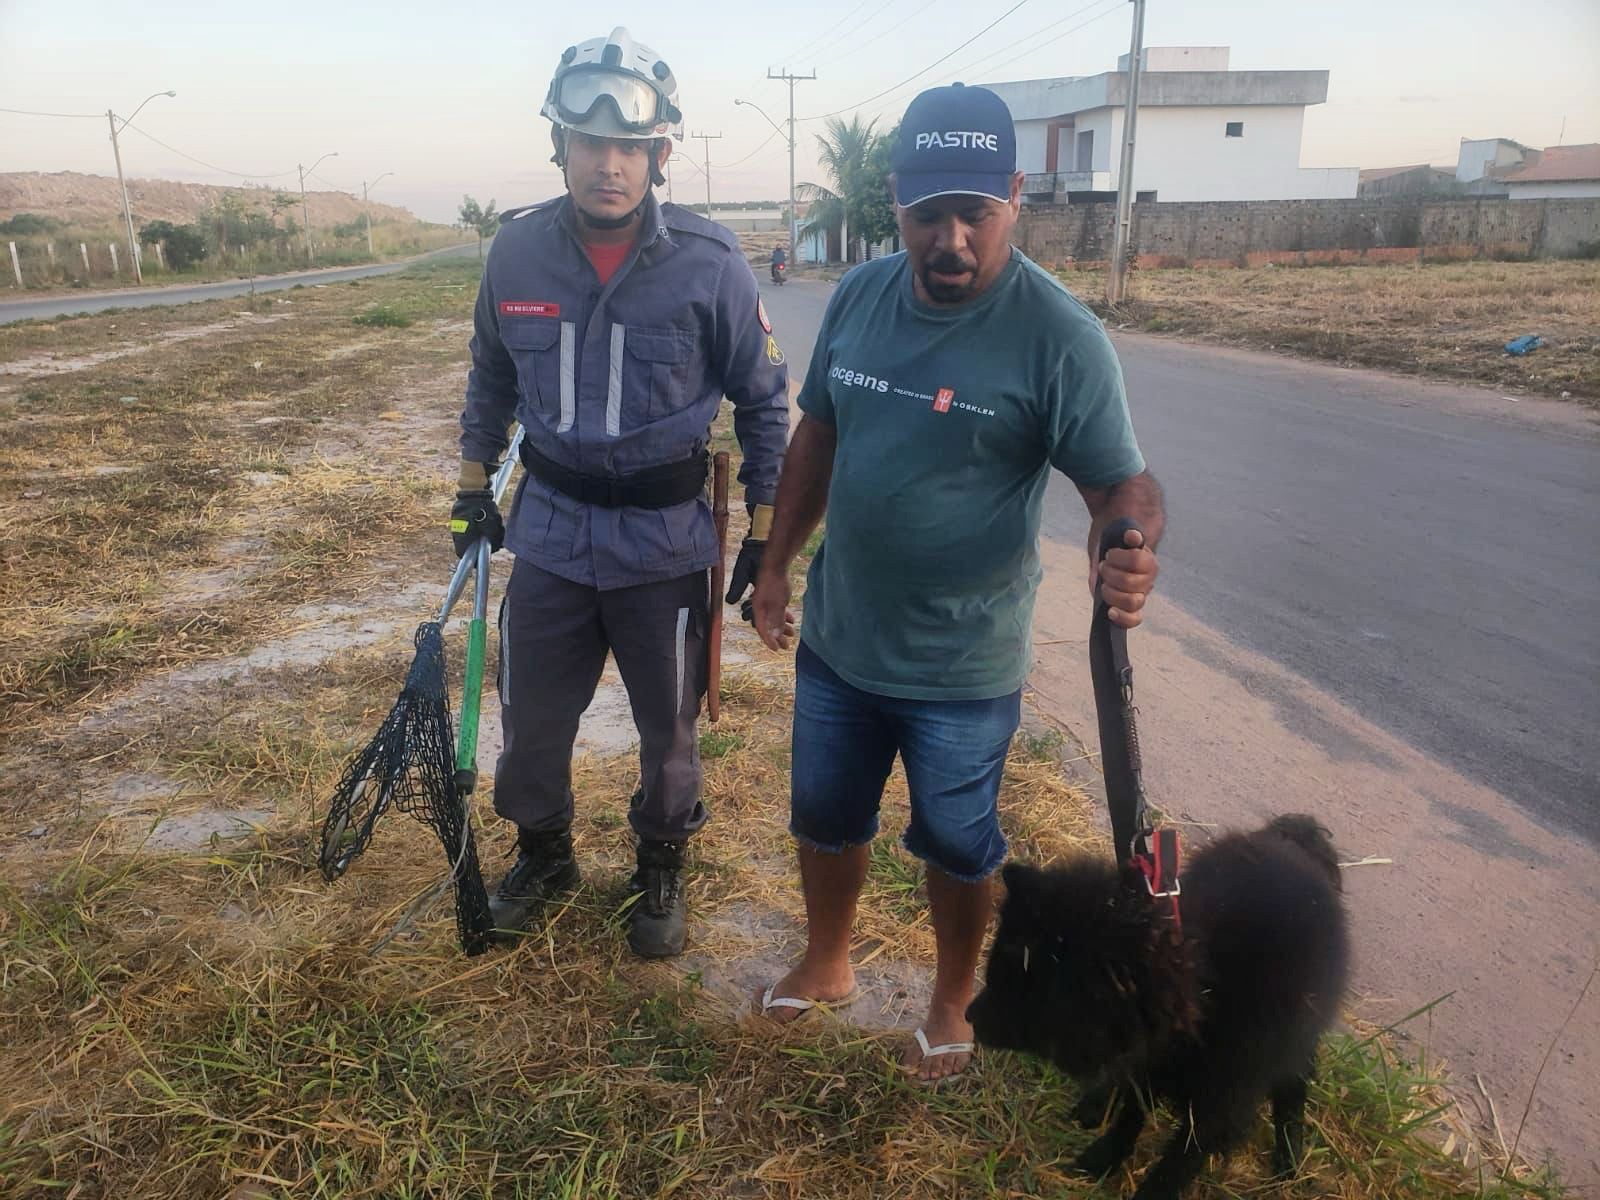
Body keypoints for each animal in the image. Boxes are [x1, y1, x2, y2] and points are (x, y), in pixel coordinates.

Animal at [960, 819, 1350, 1200]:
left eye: (1019, 988)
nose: (968, 1017)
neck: (1201, 982)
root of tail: (1299, 837)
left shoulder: (1220, 1103)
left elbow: (1176, 1165)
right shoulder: (1149, 1062)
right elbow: (1132, 1114)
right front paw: (1104, 1157)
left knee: (1294, 1085)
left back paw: (1289, 1155)